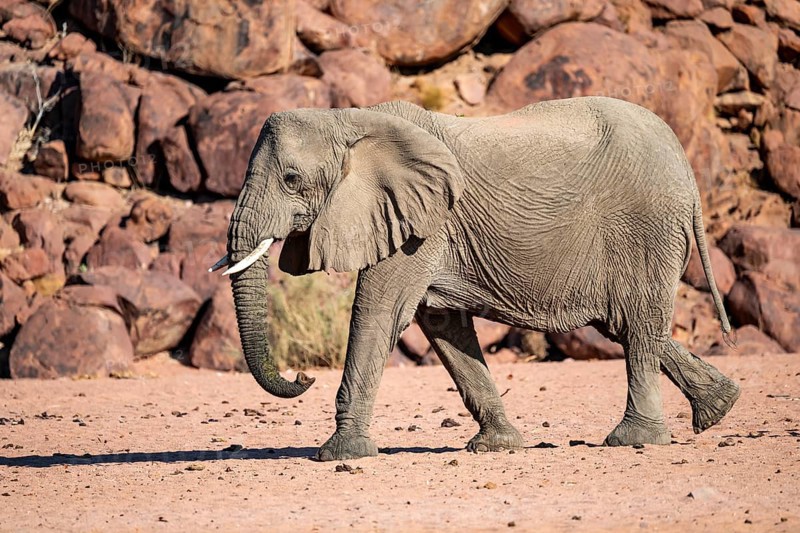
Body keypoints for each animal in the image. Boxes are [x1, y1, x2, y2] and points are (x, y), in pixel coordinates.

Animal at [211, 96, 741, 461]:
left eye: (292, 180)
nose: (303, 375)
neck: (350, 119)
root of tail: (686, 167)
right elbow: (441, 324)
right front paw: (499, 446)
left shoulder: (420, 226)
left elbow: (379, 312)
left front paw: (339, 454)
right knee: (626, 324)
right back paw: (719, 408)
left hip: (646, 227)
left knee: (638, 320)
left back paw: (635, 439)